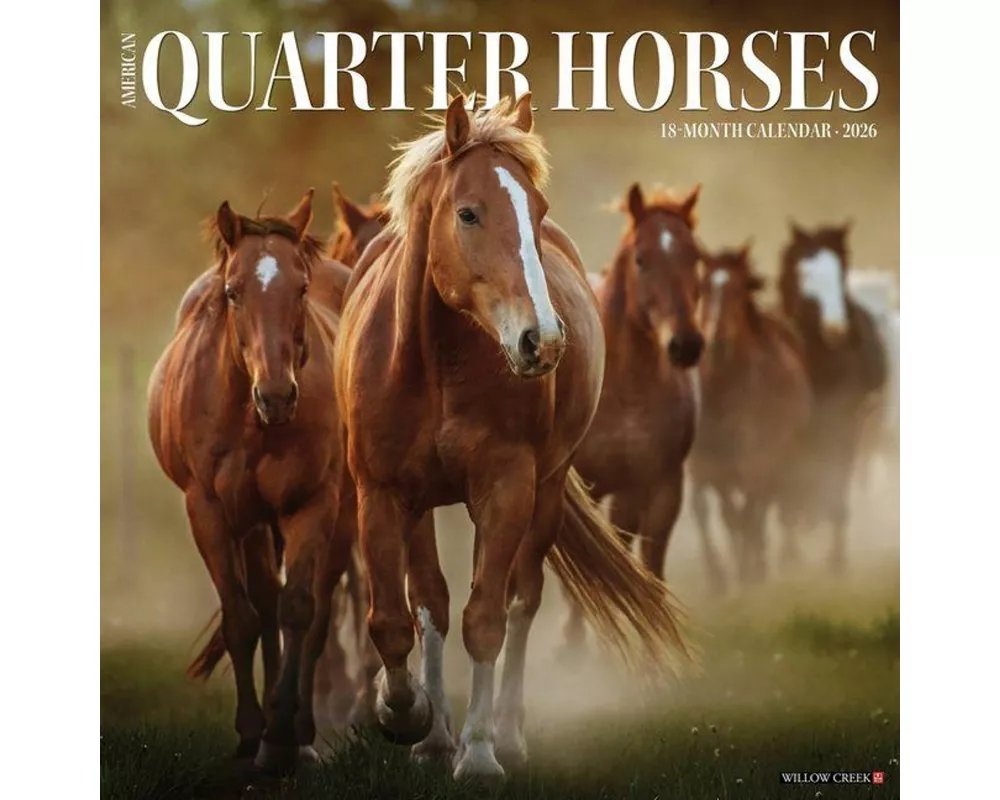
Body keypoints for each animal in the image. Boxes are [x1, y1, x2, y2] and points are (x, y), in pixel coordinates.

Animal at [147, 191, 356, 773]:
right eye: (233, 292)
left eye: (301, 288)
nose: (278, 396)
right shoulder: (209, 510)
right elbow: (242, 617)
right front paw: (249, 730)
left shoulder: (313, 503)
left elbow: (300, 609)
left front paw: (284, 731)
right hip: (254, 523)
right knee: (261, 601)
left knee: (313, 609)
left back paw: (298, 730)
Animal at [335, 94, 687, 780]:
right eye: (468, 212)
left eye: (537, 210)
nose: (541, 340)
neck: (435, 364)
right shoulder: (381, 494)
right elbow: (397, 617)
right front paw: (407, 715)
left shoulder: (505, 488)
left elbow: (488, 619)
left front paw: (478, 753)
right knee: (433, 602)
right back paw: (434, 735)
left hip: (541, 493)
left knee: (519, 601)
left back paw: (505, 733)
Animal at [566, 183, 704, 652]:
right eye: (642, 258)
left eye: (695, 256)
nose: (686, 344)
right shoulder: (592, 484)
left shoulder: (662, 488)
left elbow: (650, 566)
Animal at [688, 244, 812, 591]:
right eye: (703, 287)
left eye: (738, 289)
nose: (716, 341)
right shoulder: (710, 464)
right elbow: (727, 515)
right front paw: (728, 575)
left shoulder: (759, 457)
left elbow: (748, 514)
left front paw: (749, 570)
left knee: (766, 506)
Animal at [776, 222, 888, 570]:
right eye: (804, 273)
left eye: (840, 274)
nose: (836, 329)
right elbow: (790, 482)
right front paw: (790, 554)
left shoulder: (848, 422)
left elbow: (838, 476)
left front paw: (836, 558)